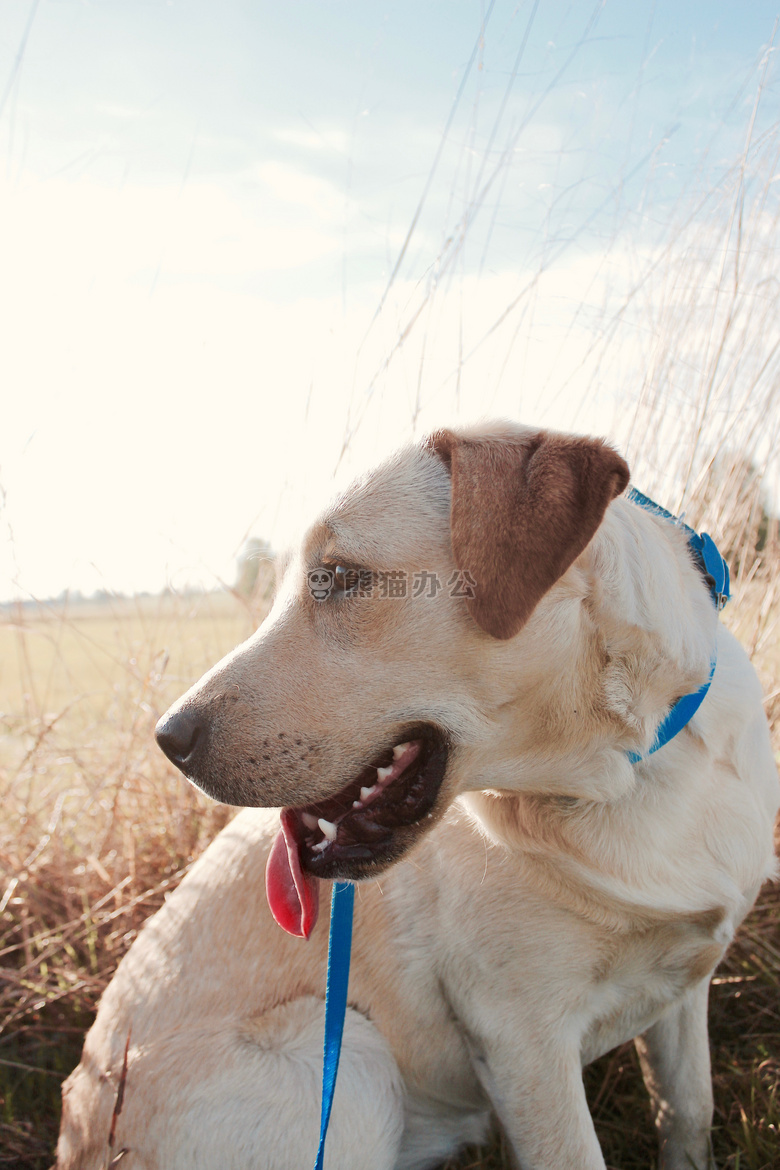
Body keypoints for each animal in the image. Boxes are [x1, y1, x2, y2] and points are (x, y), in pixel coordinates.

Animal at [57, 425, 776, 1170]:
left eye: (337, 577)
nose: (167, 738)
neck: (628, 772)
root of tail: (77, 1138)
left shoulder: (683, 986)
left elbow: (689, 1112)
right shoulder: (522, 1039)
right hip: (352, 1059)